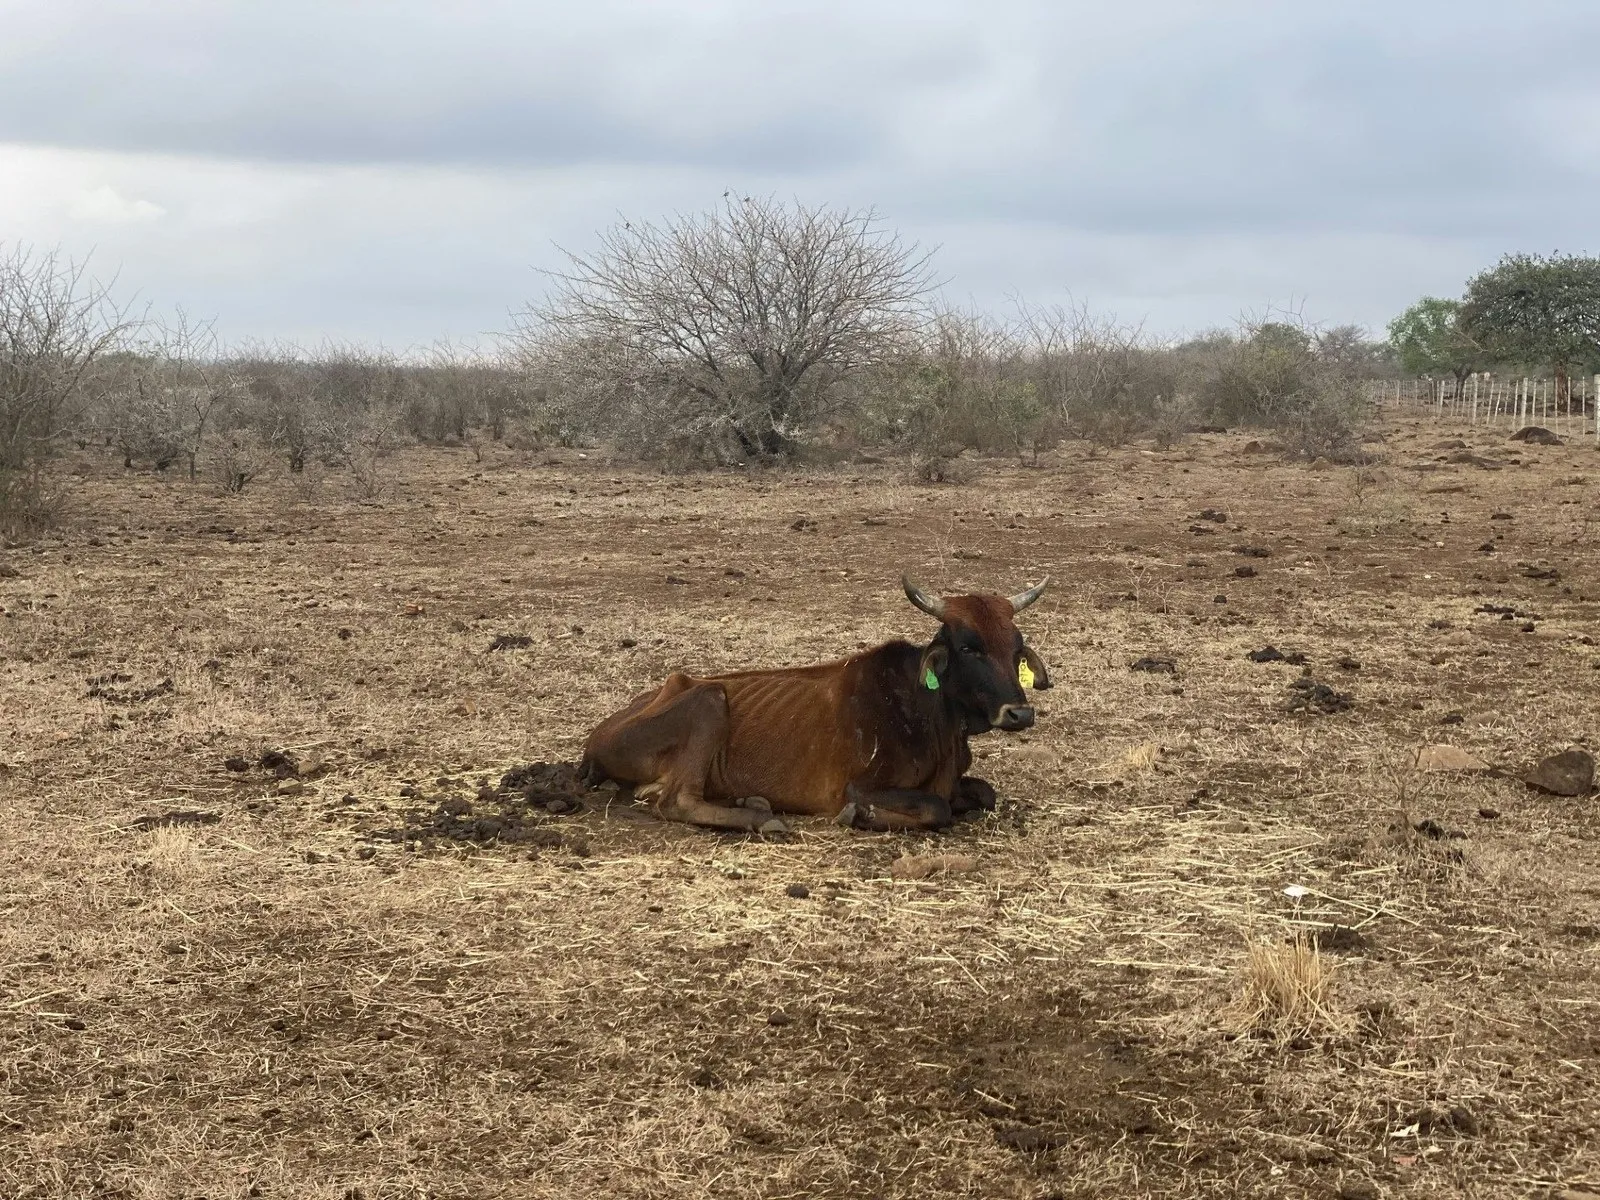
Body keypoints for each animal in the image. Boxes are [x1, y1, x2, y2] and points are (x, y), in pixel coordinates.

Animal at [578, 575, 1052, 834]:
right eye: (969, 647)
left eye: (1016, 649)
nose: (1020, 713)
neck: (929, 712)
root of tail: (596, 738)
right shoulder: (858, 785)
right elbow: (936, 808)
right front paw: (860, 816)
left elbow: (984, 793)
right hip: (709, 699)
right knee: (675, 801)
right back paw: (761, 819)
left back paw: (751, 802)